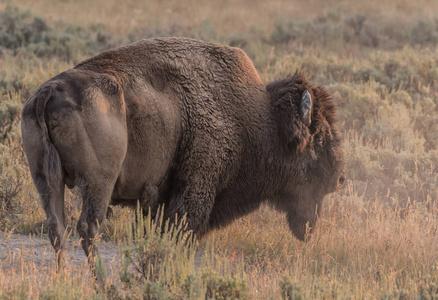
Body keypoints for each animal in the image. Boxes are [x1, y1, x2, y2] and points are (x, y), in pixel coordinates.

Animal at [21, 36, 346, 268]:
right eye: (319, 139)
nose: (339, 179)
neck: (257, 116)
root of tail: (49, 92)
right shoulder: (194, 190)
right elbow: (181, 234)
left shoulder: (156, 203)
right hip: (98, 181)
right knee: (88, 227)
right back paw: (102, 283)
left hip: (46, 180)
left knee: (57, 228)